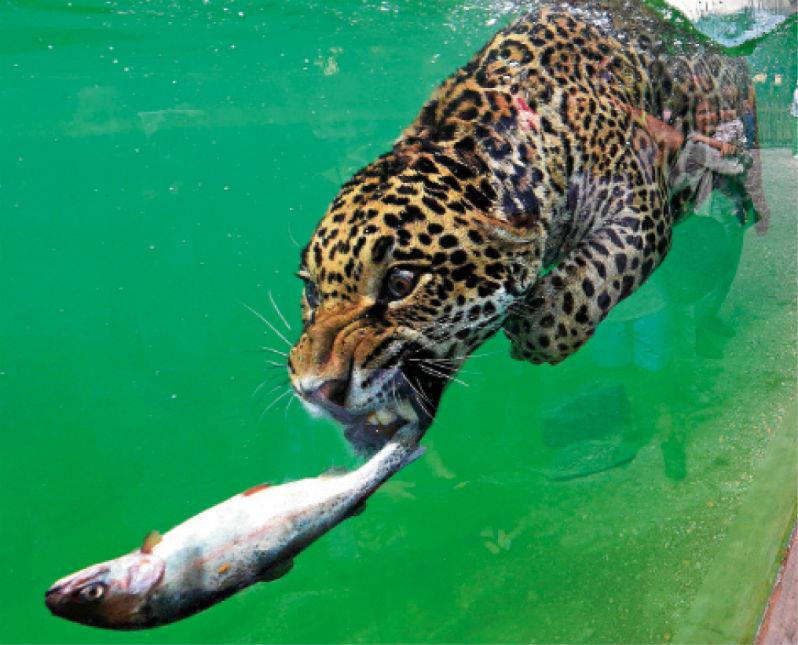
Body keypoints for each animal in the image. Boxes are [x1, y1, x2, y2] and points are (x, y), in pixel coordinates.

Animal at [286, 0, 753, 454]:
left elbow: (603, 267)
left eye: (401, 283)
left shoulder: (639, 207)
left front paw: (539, 323)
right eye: (311, 291)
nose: (314, 391)